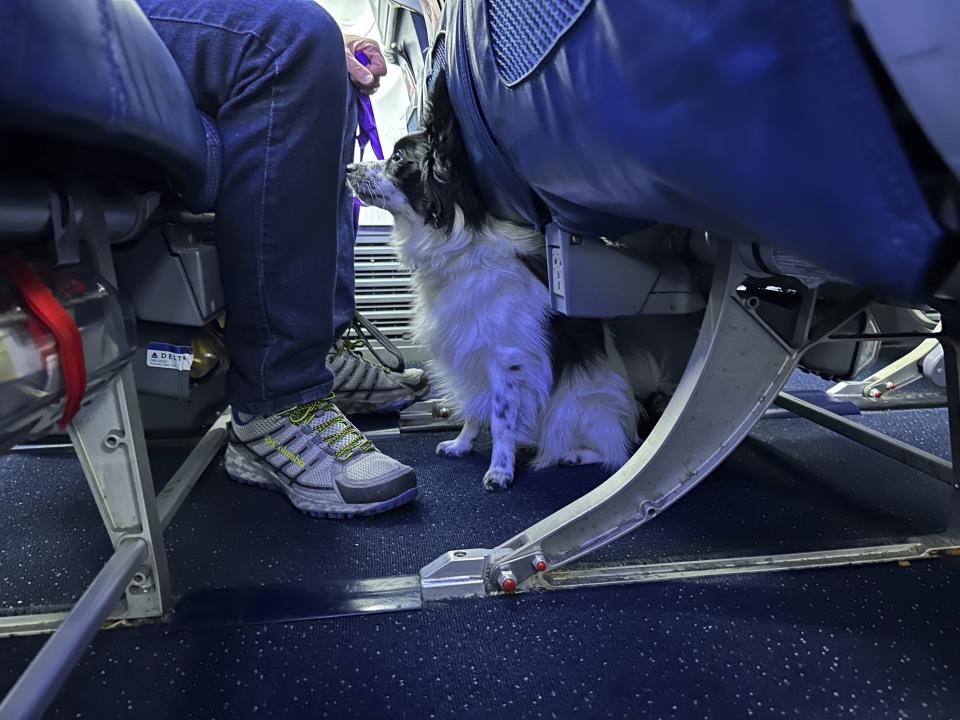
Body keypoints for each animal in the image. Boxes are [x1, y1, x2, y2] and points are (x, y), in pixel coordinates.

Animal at [346, 71, 668, 490]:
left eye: (398, 158)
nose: (348, 168)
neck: (454, 243)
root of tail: (637, 409)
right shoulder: (471, 358)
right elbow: (474, 410)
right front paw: (462, 444)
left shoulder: (506, 362)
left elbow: (500, 421)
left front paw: (500, 470)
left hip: (575, 410)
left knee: (615, 449)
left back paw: (574, 454)